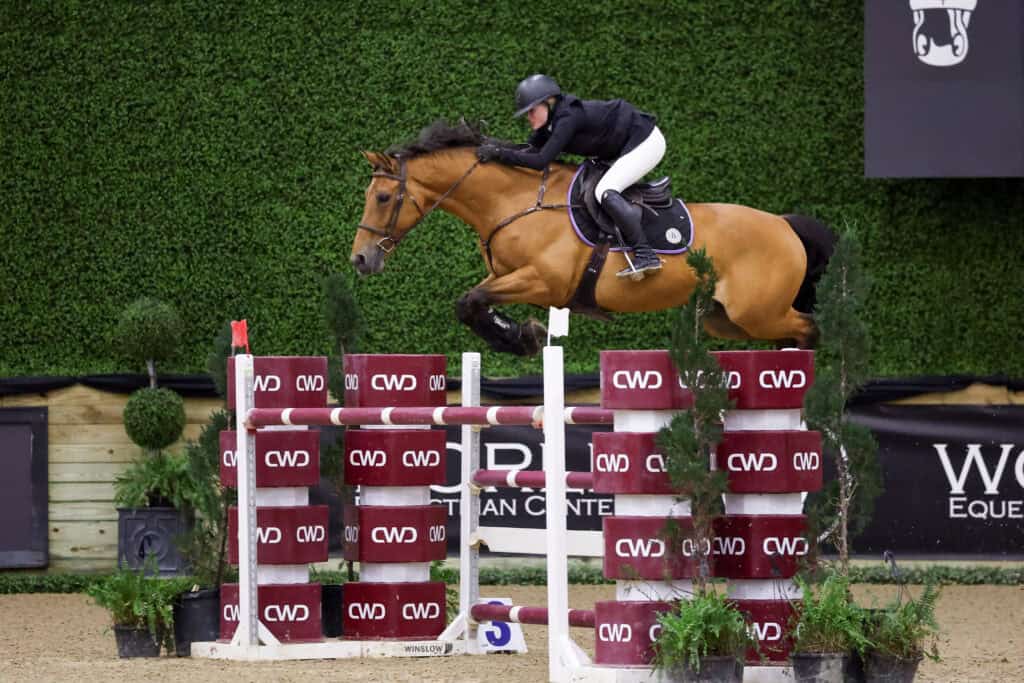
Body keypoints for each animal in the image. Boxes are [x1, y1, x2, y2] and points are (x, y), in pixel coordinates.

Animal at [352, 121, 835, 356]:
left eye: (382, 197)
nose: (360, 260)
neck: (515, 200)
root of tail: (784, 224)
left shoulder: (544, 281)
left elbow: (471, 300)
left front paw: (521, 337)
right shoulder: (512, 278)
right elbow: (472, 303)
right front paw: (520, 334)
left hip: (757, 312)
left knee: (809, 327)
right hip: (728, 318)